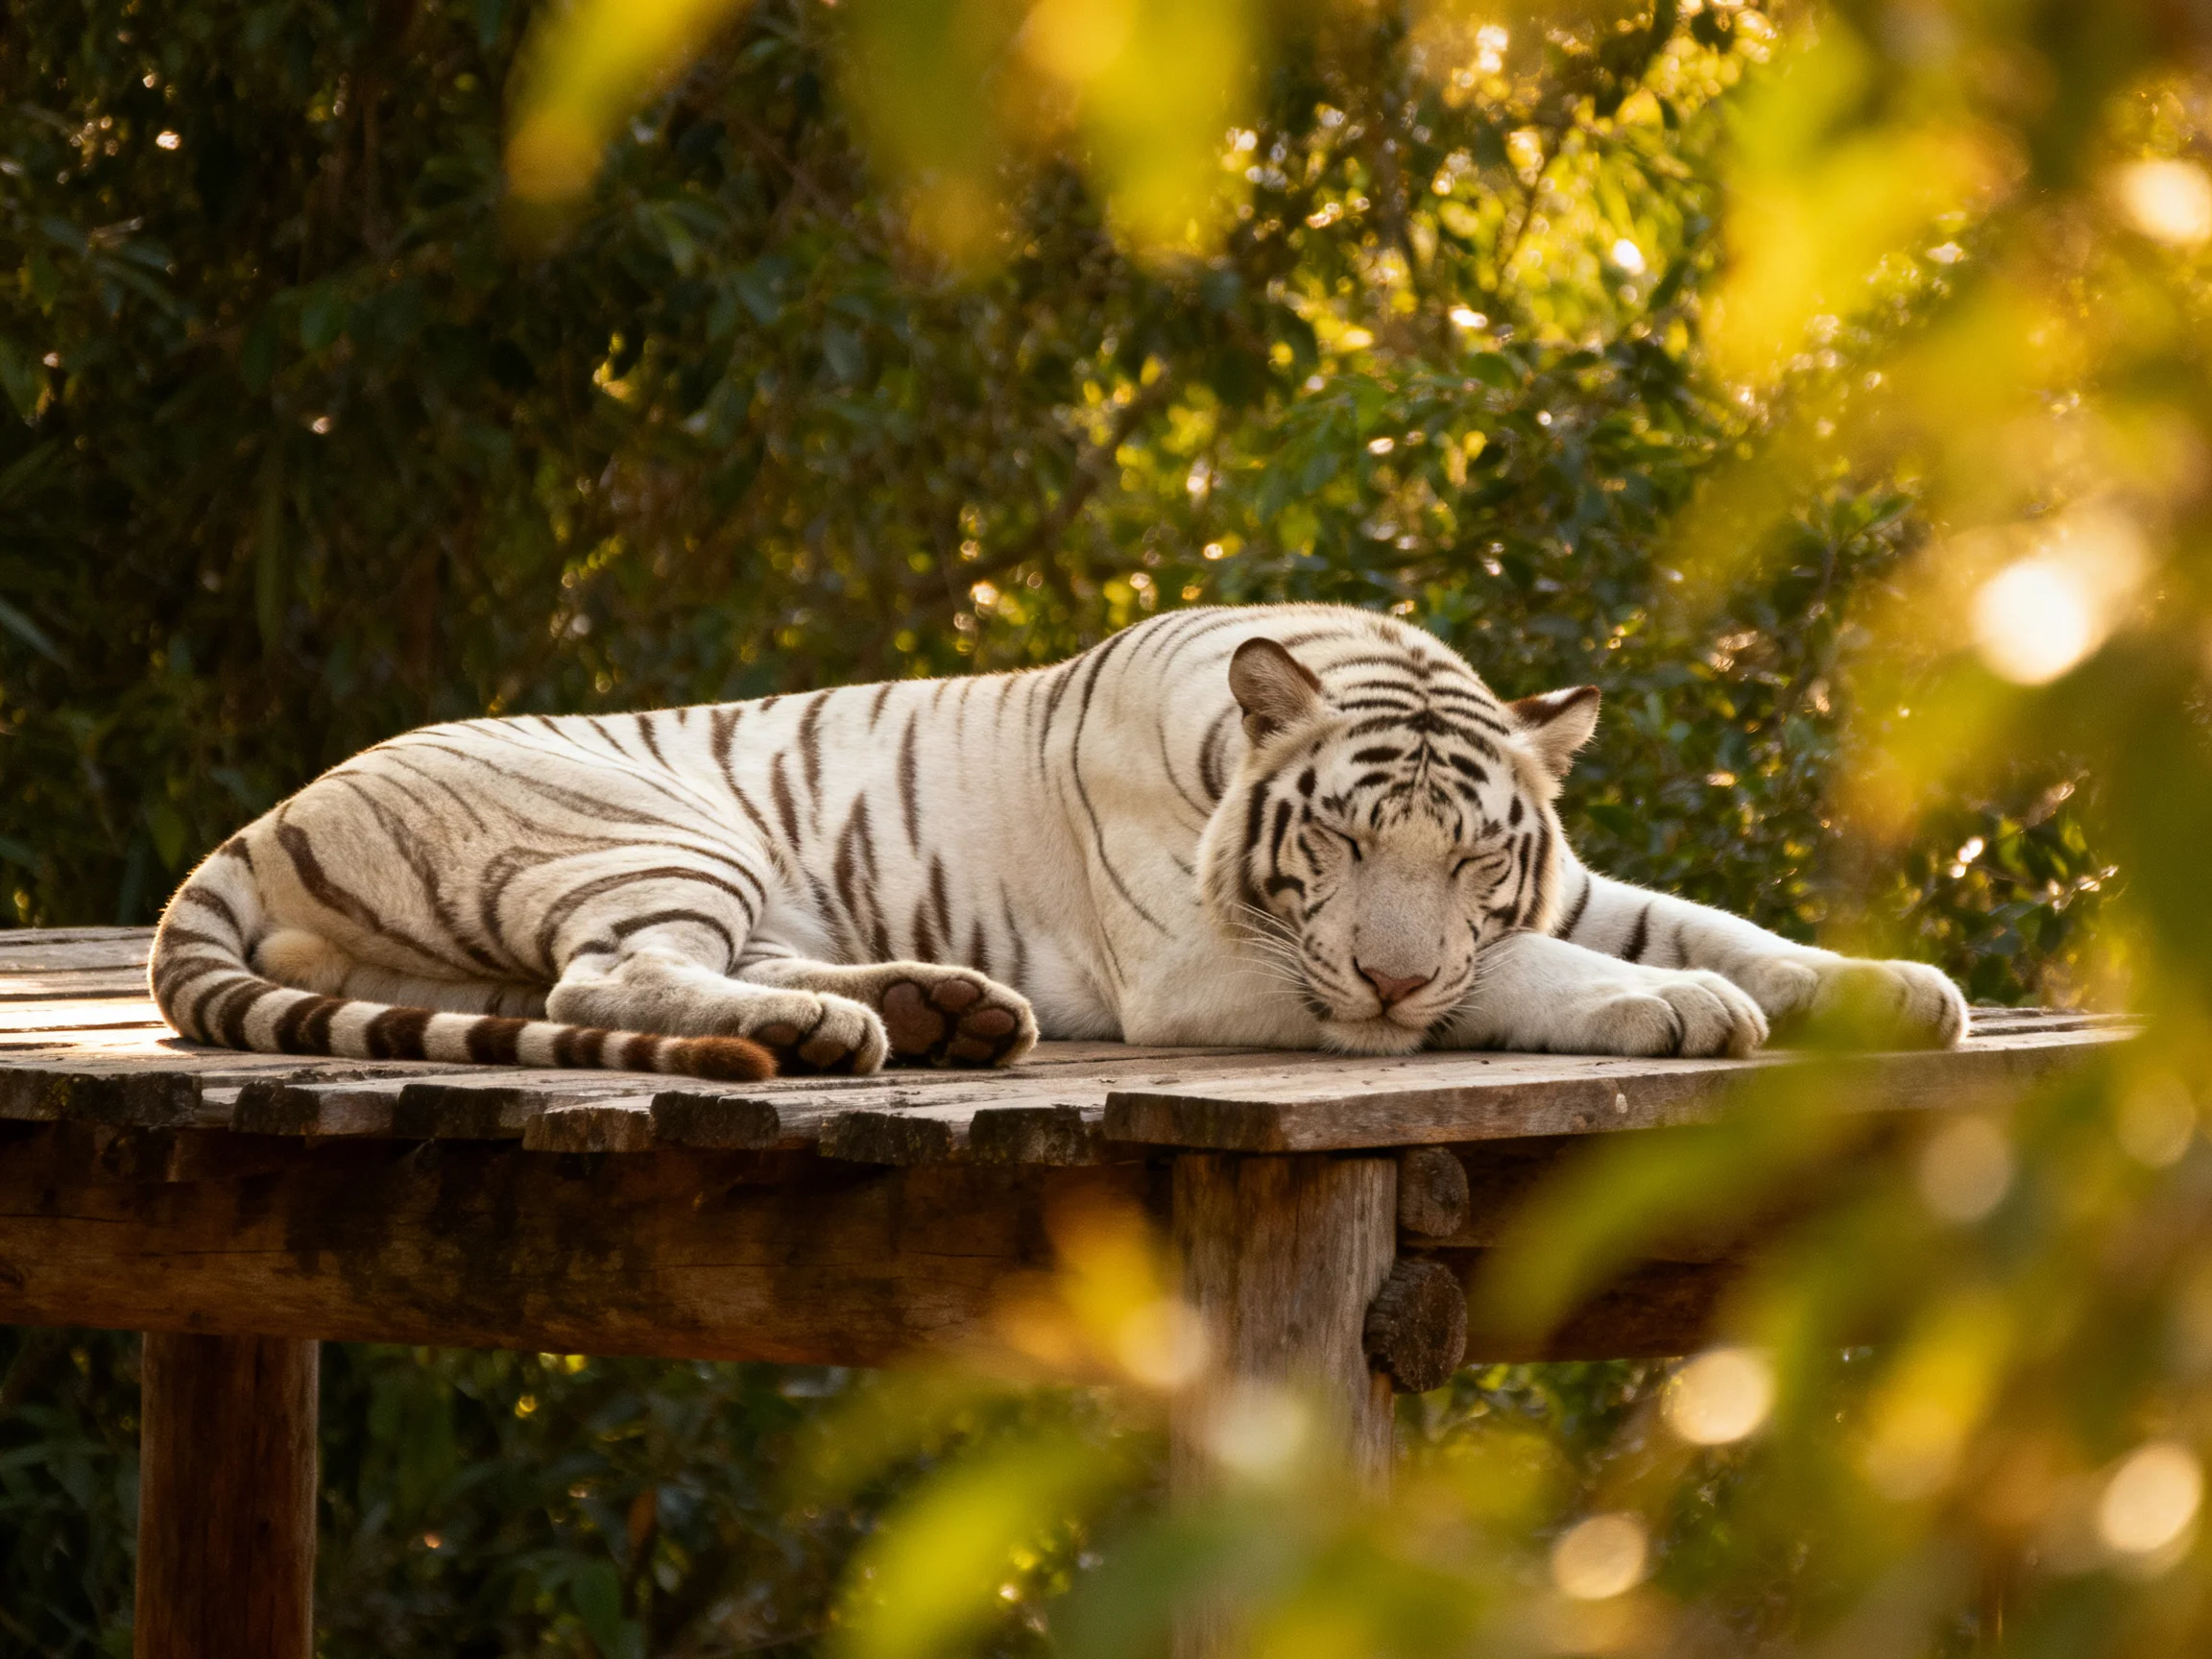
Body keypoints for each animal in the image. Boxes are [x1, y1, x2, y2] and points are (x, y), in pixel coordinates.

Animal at [149, 604, 1968, 1081]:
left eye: (1468, 856)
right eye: (1340, 846)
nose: (1388, 977)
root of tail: (262, 815)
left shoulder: (1567, 880)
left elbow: (1712, 924)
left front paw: (1896, 986)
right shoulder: (1220, 969)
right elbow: (1528, 976)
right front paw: (1661, 1011)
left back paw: (935, 1007)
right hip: (656, 830)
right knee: (609, 977)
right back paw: (840, 1031)